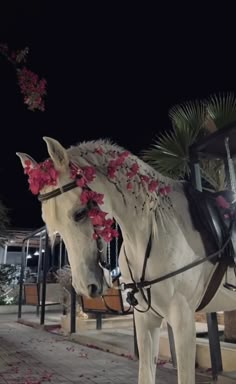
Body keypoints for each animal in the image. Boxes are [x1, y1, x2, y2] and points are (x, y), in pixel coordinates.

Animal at [17, 138, 236, 384]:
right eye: (52, 227)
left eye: (80, 213)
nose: (84, 286)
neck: (157, 229)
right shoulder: (145, 318)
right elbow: (146, 373)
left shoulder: (183, 321)